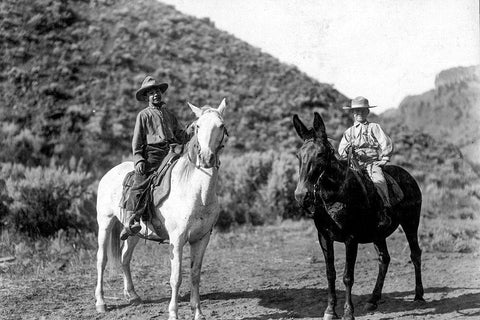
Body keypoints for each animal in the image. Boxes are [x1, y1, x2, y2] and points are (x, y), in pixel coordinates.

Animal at [96, 99, 229, 318]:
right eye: (198, 126)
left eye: (221, 126)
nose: (206, 158)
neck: (197, 192)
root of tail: (109, 173)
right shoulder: (177, 239)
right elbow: (176, 277)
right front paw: (173, 313)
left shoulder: (202, 238)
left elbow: (195, 275)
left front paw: (198, 312)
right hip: (105, 223)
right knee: (102, 259)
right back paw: (100, 303)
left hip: (134, 232)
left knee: (125, 258)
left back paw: (133, 296)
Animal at [292, 111, 424, 318]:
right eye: (299, 155)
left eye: (320, 154)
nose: (301, 195)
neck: (336, 195)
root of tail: (409, 176)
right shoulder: (324, 238)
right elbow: (330, 274)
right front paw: (330, 310)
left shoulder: (351, 239)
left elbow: (348, 276)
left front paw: (348, 312)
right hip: (378, 234)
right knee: (384, 259)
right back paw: (373, 300)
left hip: (411, 223)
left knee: (415, 254)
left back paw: (418, 296)